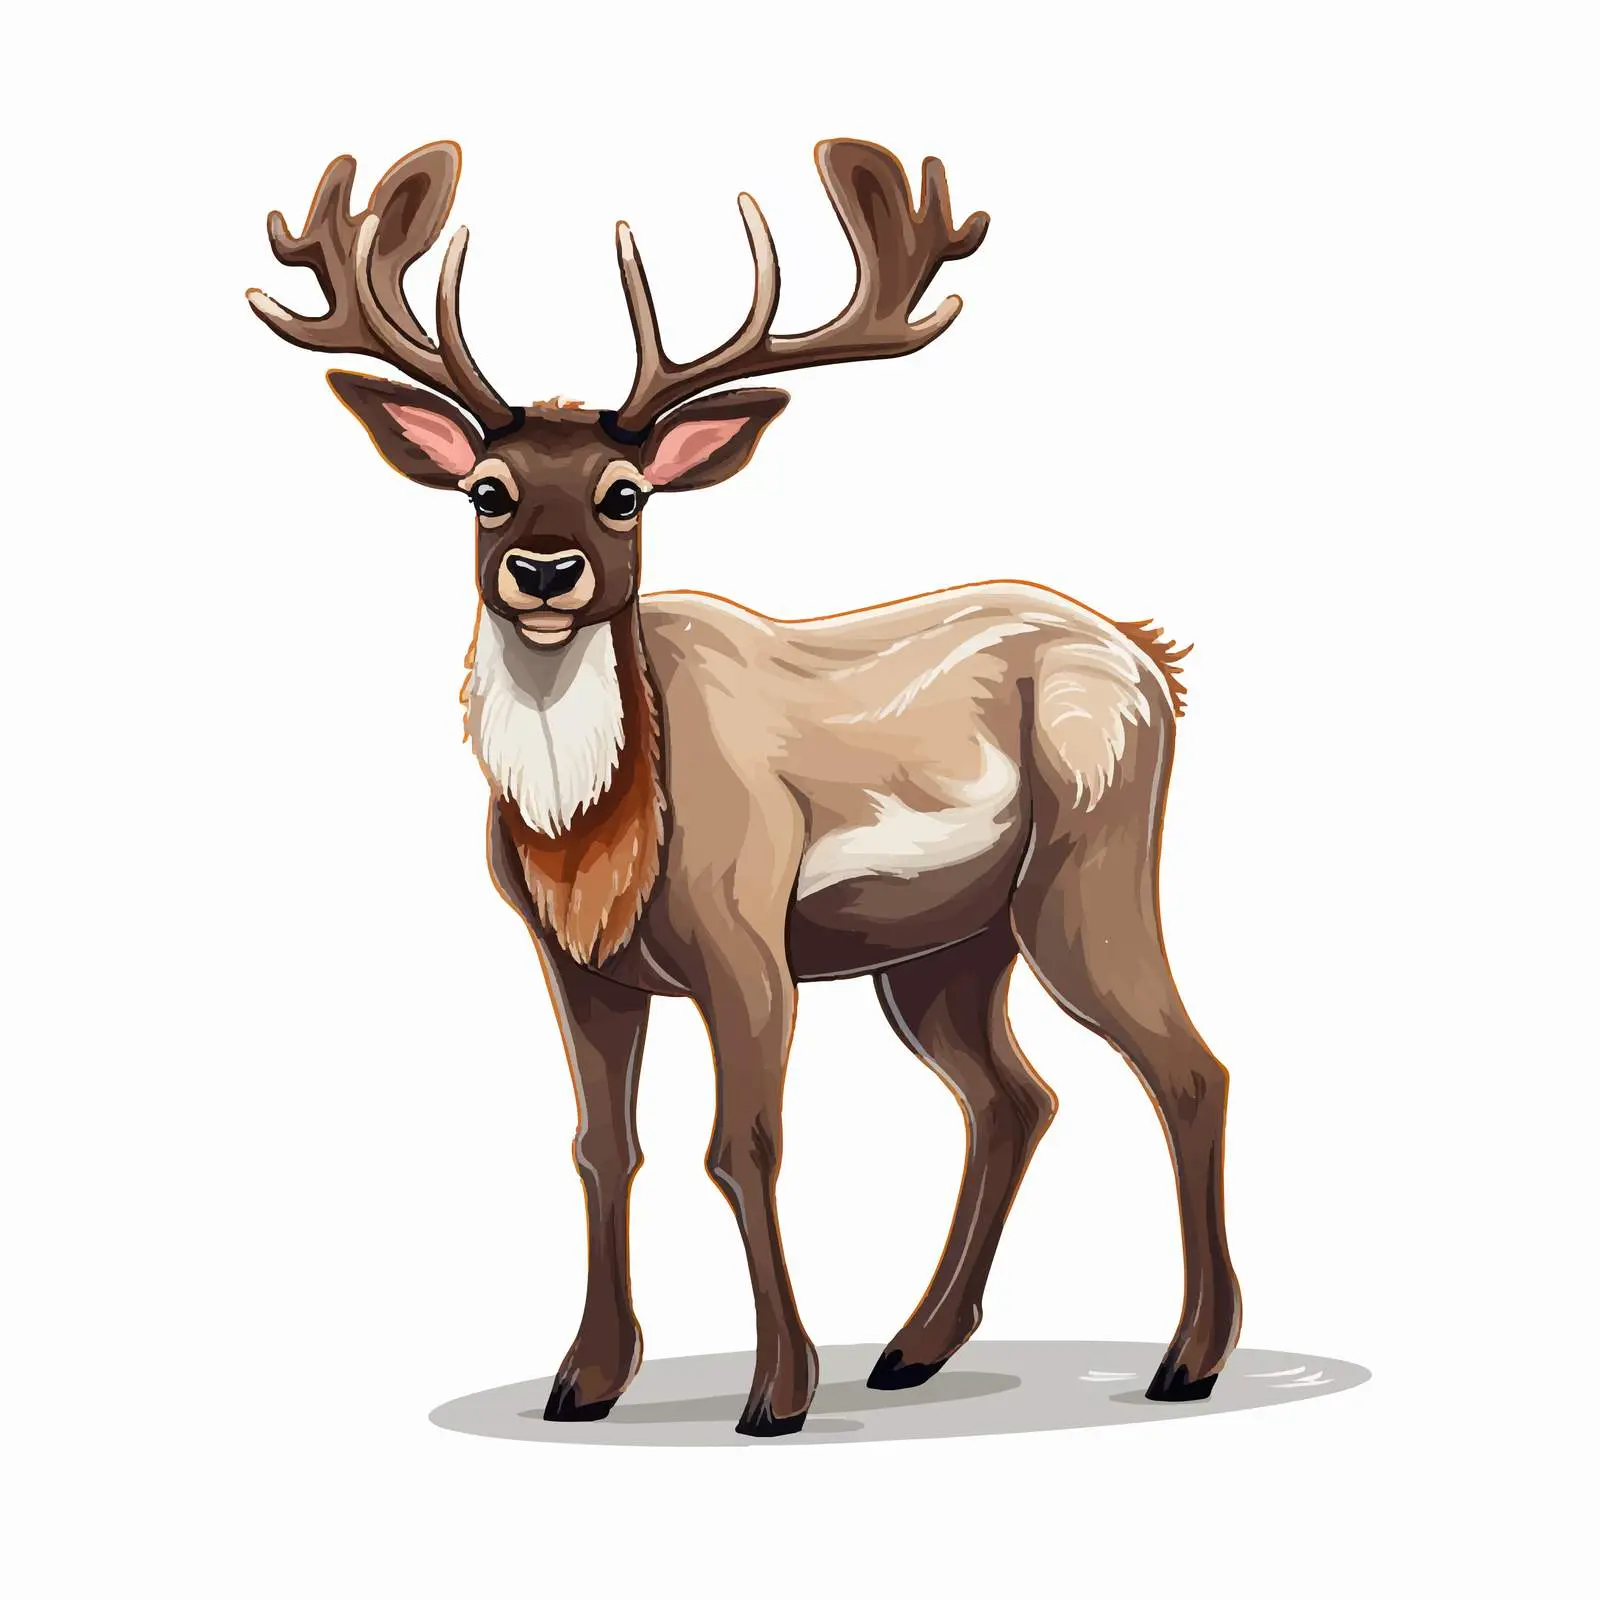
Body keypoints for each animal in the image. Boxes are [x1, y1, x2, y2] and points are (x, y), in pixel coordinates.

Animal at [248, 139, 1242, 1438]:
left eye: (625, 491)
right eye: (486, 487)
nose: (545, 571)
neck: (595, 844)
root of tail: (1149, 660)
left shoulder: (746, 933)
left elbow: (744, 1143)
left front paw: (777, 1392)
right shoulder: (572, 964)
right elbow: (600, 1145)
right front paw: (585, 1379)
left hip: (1090, 869)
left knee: (1187, 1066)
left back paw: (1190, 1359)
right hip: (943, 947)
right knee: (1013, 1096)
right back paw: (913, 1348)